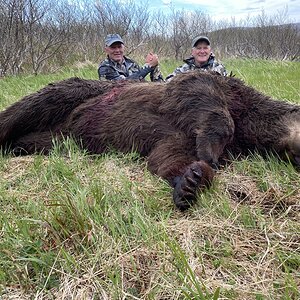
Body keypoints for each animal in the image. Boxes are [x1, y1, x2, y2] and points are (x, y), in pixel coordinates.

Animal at [0, 71, 300, 210]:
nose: (297, 156)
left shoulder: (177, 138)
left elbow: (168, 156)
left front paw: (191, 181)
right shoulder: (210, 90)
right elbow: (201, 92)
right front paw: (209, 152)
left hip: (61, 137)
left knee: (41, 140)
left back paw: (18, 147)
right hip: (74, 95)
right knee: (28, 107)